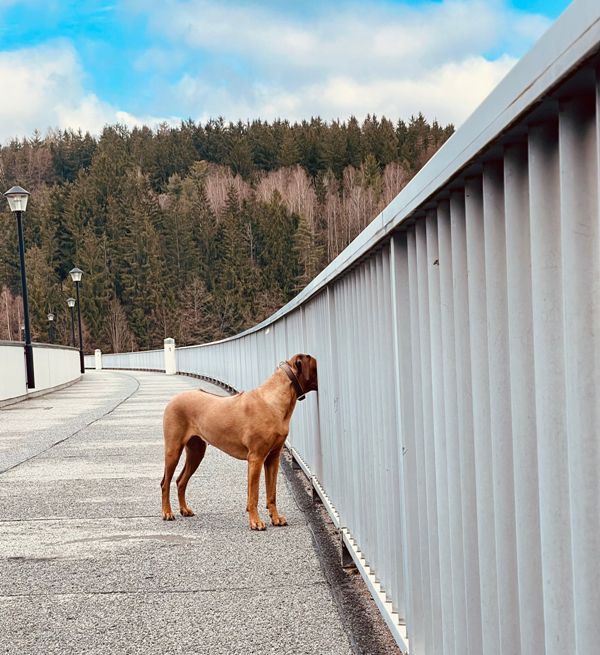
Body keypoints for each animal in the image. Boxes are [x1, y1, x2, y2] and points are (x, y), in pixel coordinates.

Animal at [160, 353, 318, 530]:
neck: (273, 401)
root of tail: (173, 398)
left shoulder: (273, 458)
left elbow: (272, 494)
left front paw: (275, 518)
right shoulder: (256, 458)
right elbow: (254, 495)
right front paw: (256, 521)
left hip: (196, 451)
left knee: (181, 480)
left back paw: (184, 509)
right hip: (173, 449)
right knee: (165, 482)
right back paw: (167, 512)